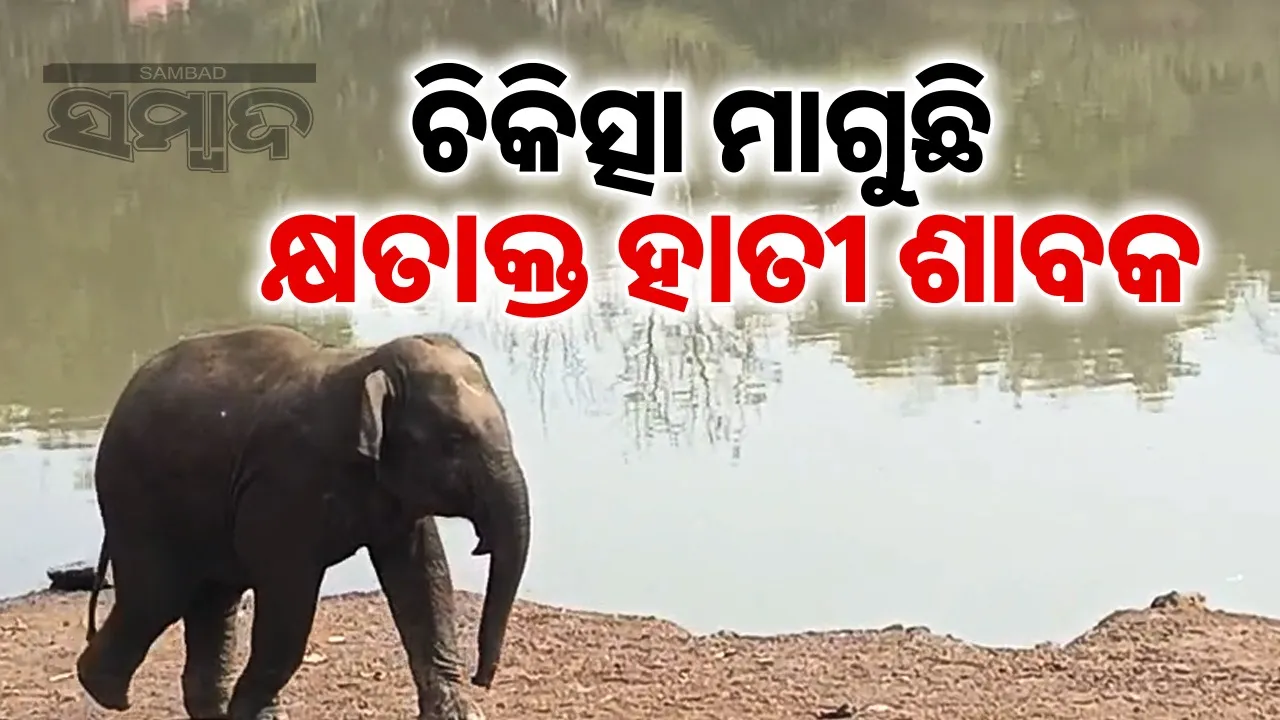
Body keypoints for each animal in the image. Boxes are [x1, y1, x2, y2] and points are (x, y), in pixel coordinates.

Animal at [74, 325, 531, 720]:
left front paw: (459, 714)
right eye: (454, 441)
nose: (481, 677)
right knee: (158, 596)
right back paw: (105, 691)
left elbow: (424, 578)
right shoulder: (284, 485)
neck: (364, 366)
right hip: (138, 497)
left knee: (211, 598)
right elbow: (289, 598)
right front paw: (257, 715)